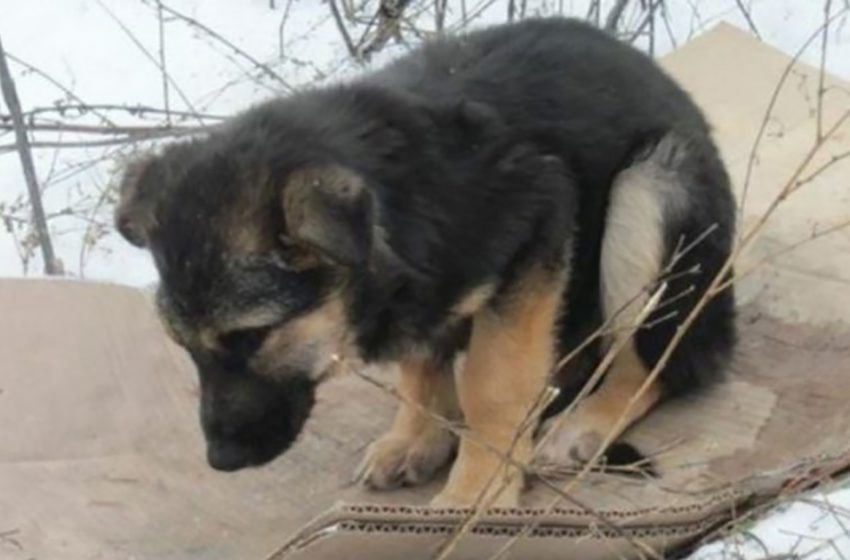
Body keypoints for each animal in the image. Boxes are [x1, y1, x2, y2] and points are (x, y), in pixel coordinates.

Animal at [114, 17, 736, 508]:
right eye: (181, 343)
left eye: (251, 336)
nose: (221, 459)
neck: (395, 208)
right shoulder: (415, 298)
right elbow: (419, 363)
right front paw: (418, 435)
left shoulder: (540, 222)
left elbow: (493, 382)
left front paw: (477, 491)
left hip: (653, 185)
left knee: (660, 365)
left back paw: (586, 421)